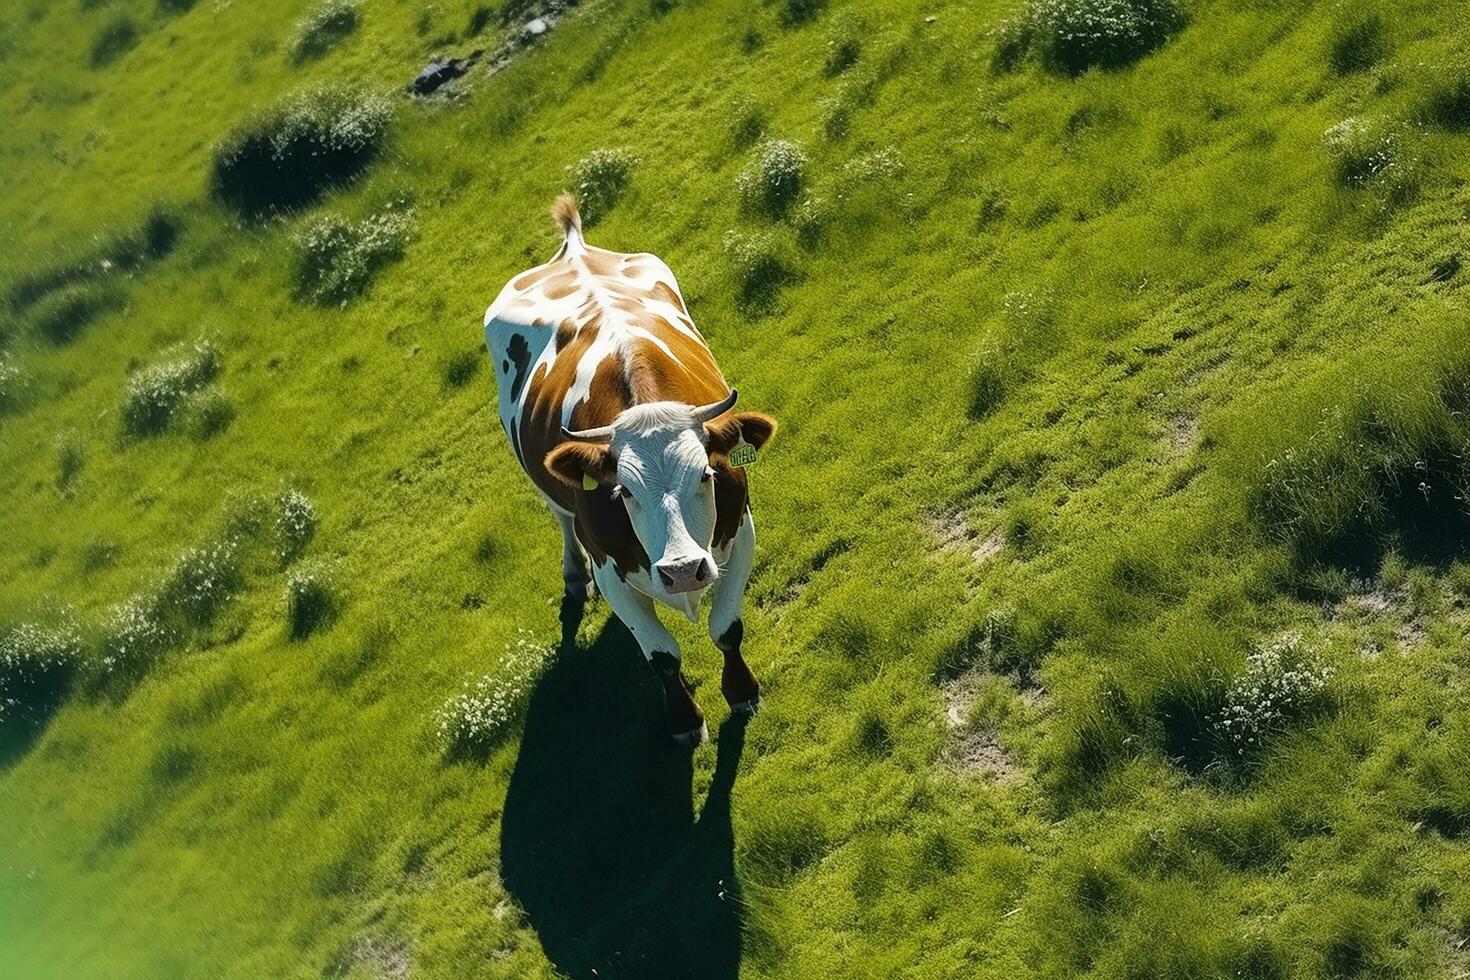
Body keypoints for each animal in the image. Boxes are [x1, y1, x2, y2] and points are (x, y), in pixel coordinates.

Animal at [485, 195, 782, 746]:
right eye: (623, 492)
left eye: (706, 475)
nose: (683, 569)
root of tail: (573, 250)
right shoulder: (612, 572)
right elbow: (661, 655)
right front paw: (685, 720)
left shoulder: (741, 532)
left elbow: (726, 628)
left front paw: (742, 691)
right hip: (548, 489)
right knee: (561, 518)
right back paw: (572, 575)